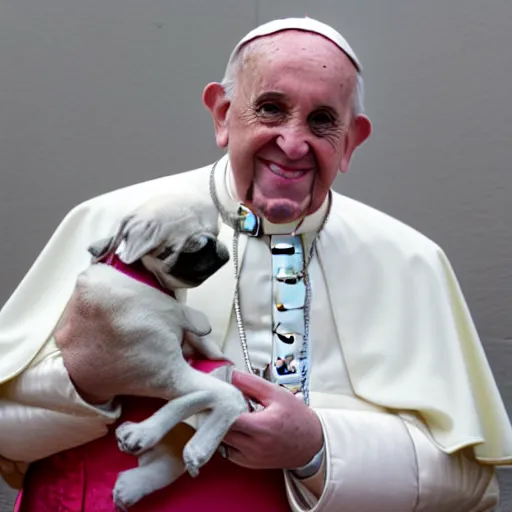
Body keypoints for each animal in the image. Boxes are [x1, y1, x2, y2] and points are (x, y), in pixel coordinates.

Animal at [57, 194, 247, 510]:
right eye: (169, 251)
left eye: (214, 231)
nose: (213, 247)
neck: (140, 273)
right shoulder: (175, 349)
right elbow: (196, 331)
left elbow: (205, 347)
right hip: (171, 376)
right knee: (228, 398)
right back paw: (187, 445)